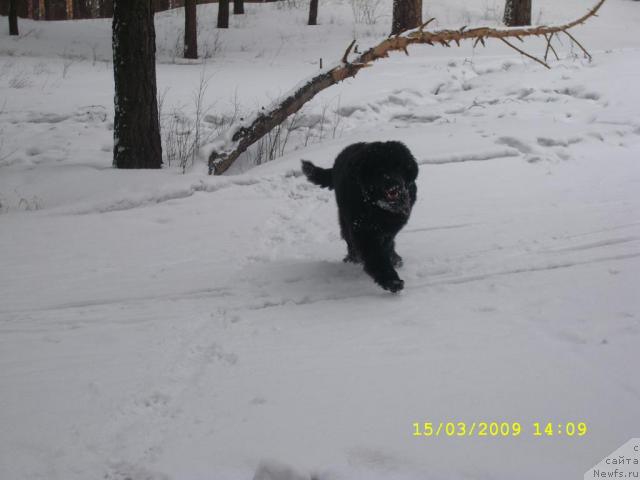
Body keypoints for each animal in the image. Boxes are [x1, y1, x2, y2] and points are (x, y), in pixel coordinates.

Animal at [302, 141, 418, 292]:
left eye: (398, 166)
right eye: (380, 169)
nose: (393, 184)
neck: (379, 207)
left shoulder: (390, 229)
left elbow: (386, 245)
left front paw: (392, 263)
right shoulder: (363, 230)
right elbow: (375, 255)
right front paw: (391, 280)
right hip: (345, 218)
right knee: (348, 238)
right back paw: (353, 257)